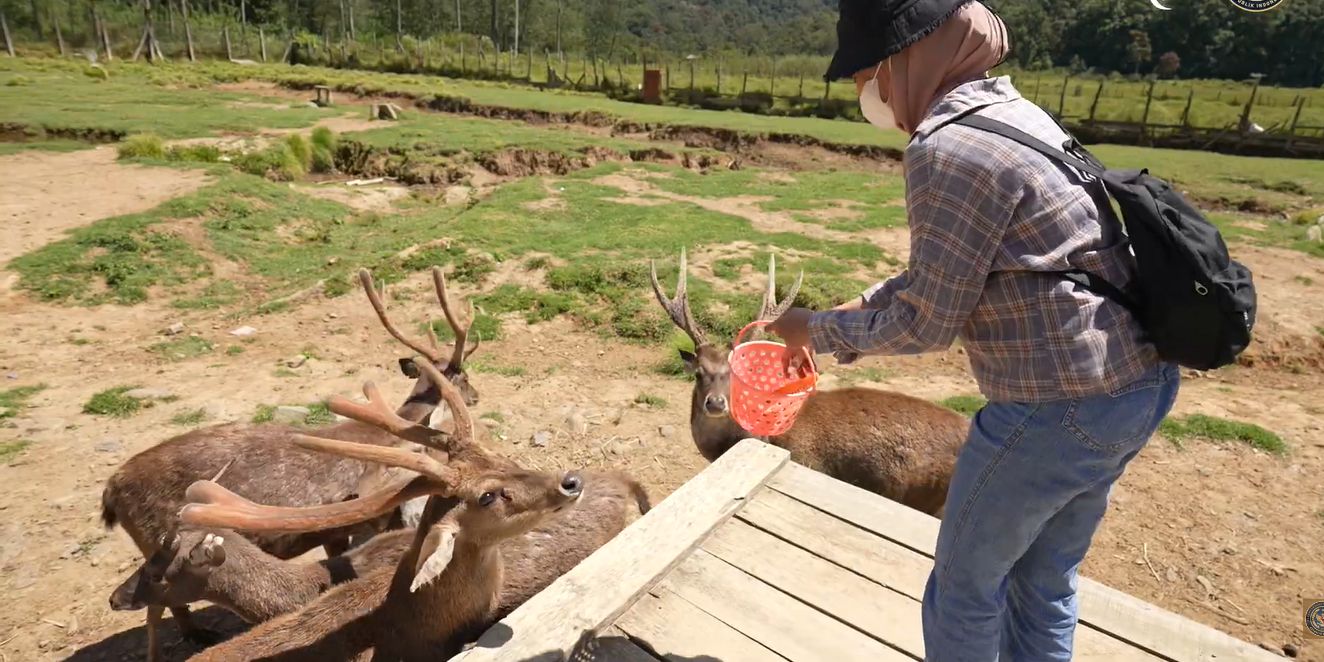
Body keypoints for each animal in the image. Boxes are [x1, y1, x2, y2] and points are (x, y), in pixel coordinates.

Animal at [99, 266, 481, 659]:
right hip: (153, 540)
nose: (477, 395)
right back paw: (194, 635)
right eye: (465, 375)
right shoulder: (354, 521)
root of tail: (109, 492)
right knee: (158, 607)